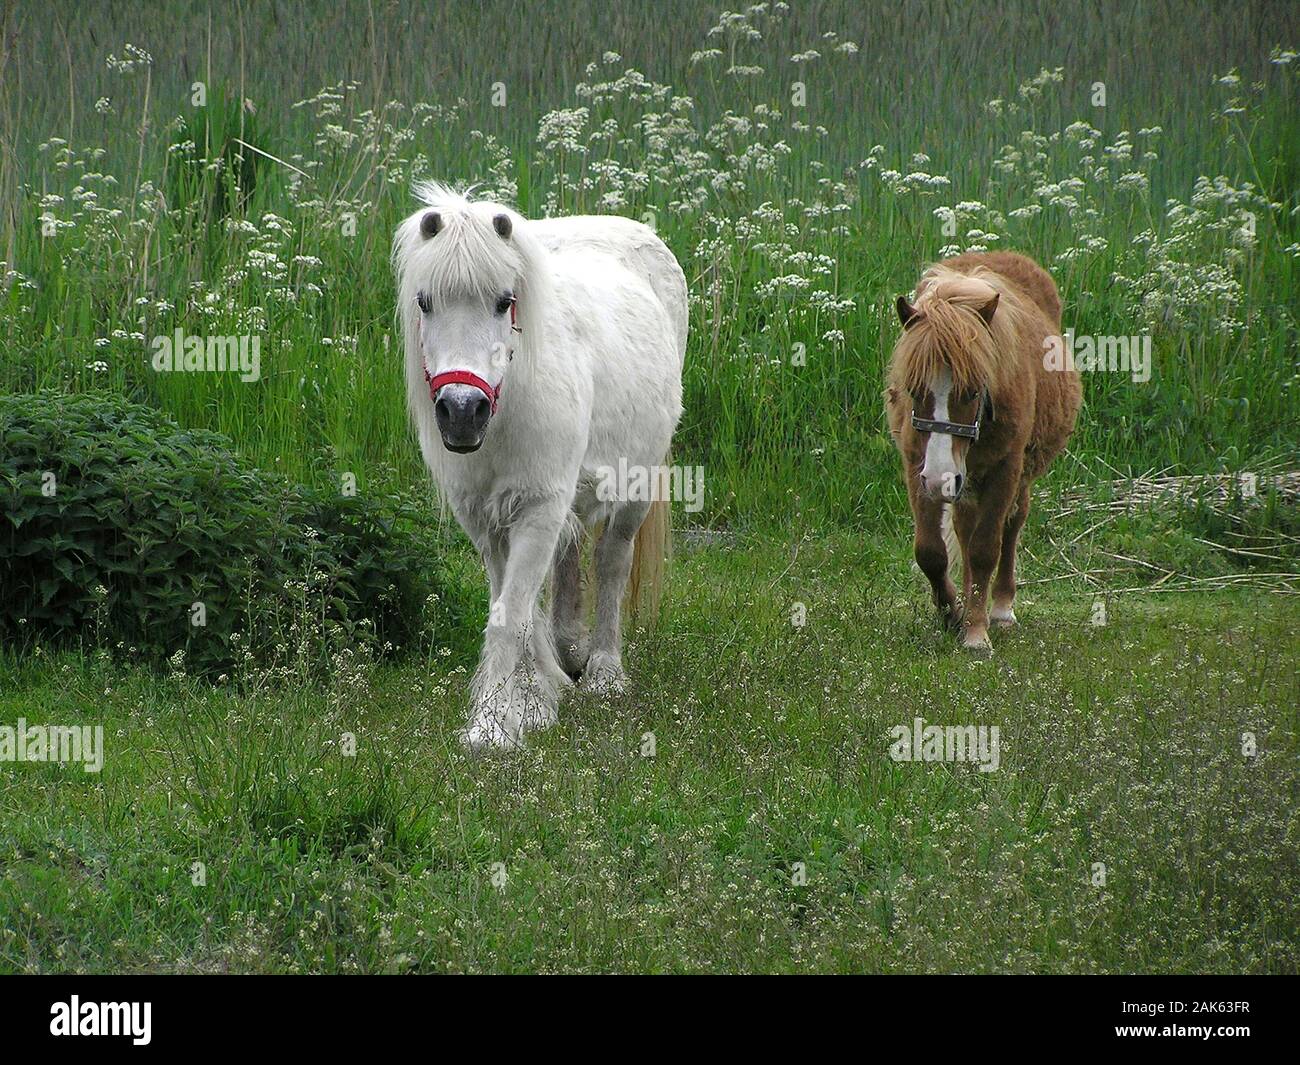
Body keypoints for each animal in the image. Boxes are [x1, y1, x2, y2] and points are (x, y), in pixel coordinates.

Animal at [393, 183, 687, 749]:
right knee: (569, 557)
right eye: (425, 302)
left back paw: (604, 672)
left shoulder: (537, 510)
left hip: (636, 485)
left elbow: (510, 618)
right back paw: (569, 650)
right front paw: (527, 703)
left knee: (612, 560)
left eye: (505, 301)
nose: (461, 411)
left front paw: (491, 727)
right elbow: (516, 612)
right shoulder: (487, 522)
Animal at [885, 251, 1081, 654]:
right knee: (963, 529)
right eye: (914, 389)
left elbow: (985, 549)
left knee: (1011, 526)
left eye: (973, 390)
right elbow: (930, 552)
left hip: (1013, 478)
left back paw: (1001, 609)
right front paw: (953, 615)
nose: (940, 477)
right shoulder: (917, 467)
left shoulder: (1005, 469)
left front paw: (975, 632)